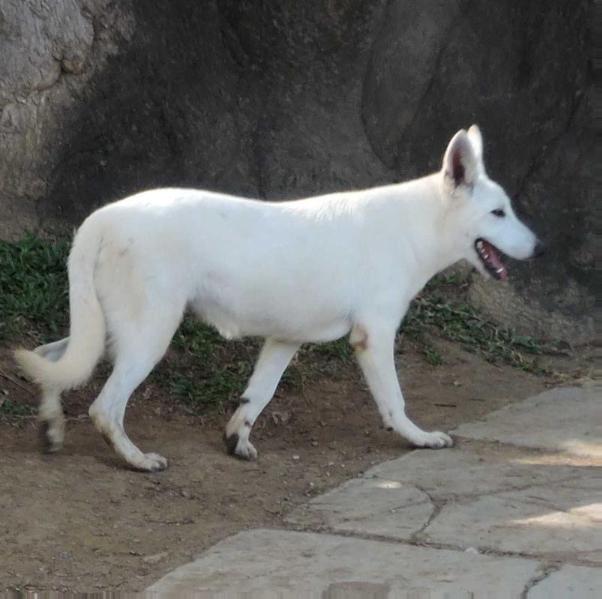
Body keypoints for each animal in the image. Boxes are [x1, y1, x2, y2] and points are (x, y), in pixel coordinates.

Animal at [14, 126, 540, 472]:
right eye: (498, 213)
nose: (538, 248)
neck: (415, 225)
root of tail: (103, 216)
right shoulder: (373, 338)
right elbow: (394, 401)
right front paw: (418, 438)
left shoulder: (284, 342)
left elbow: (257, 396)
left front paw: (236, 442)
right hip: (148, 335)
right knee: (104, 408)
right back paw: (137, 460)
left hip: (105, 331)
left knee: (48, 357)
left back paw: (51, 429)